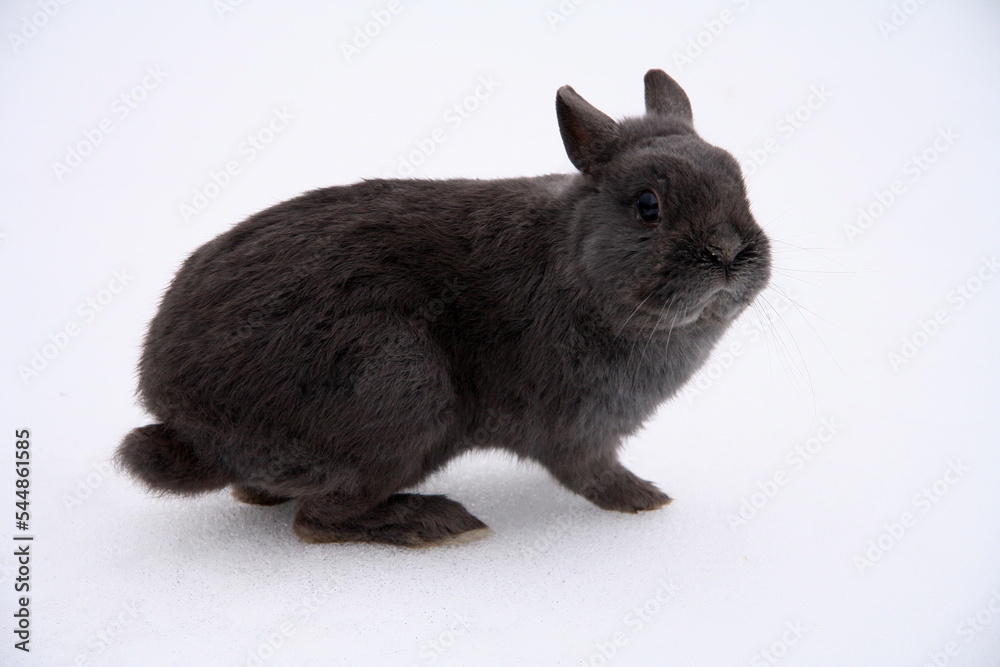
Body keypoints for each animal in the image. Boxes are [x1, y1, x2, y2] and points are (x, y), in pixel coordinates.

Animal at [117, 69, 772, 548]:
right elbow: (591, 472)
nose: (728, 251)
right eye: (647, 205)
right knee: (320, 521)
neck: (578, 269)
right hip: (400, 389)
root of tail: (182, 418)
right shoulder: (578, 429)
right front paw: (643, 498)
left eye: (741, 185)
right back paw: (437, 524)